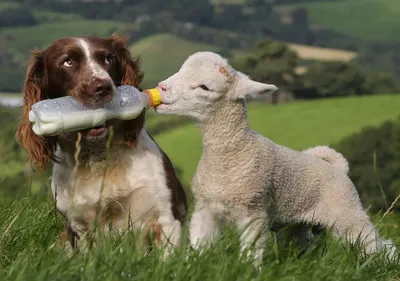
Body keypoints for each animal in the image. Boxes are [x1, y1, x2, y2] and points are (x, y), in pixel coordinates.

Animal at [16, 34, 188, 252]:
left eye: (108, 58)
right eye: (67, 62)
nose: (103, 87)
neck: (99, 156)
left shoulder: (165, 217)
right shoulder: (79, 228)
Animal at [154, 50, 396, 262]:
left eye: (204, 87)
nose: (161, 87)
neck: (232, 154)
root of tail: (339, 168)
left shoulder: (253, 212)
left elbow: (250, 252)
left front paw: (249, 270)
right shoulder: (205, 209)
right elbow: (198, 246)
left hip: (346, 211)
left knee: (375, 243)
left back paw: (386, 263)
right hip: (296, 223)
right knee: (305, 243)